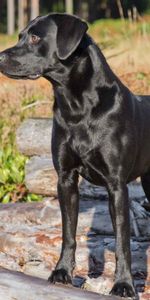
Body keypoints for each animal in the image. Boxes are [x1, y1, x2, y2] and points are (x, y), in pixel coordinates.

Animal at [0, 12, 149, 298]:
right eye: (20, 35)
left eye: (34, 37)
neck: (77, 105)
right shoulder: (66, 178)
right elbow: (68, 231)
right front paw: (62, 272)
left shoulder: (117, 185)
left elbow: (122, 240)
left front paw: (123, 285)